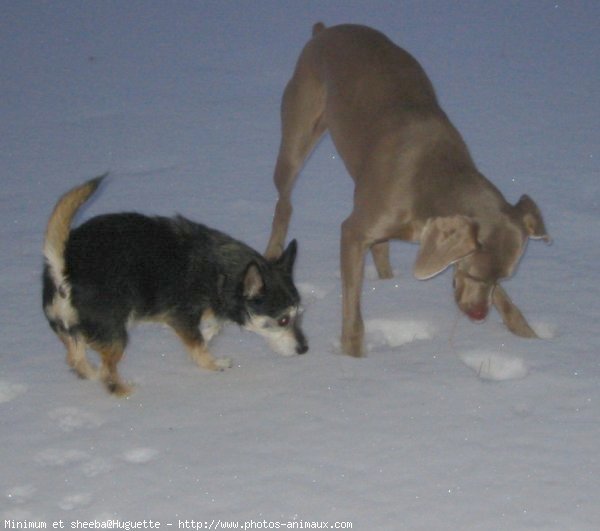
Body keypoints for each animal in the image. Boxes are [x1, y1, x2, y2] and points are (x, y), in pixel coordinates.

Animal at [42, 177, 308, 396]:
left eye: (300, 314)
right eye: (283, 320)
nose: (304, 349)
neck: (221, 272)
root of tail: (63, 270)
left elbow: (209, 330)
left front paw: (208, 334)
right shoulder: (182, 315)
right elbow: (198, 344)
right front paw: (213, 364)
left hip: (70, 329)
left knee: (76, 359)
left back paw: (90, 373)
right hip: (115, 333)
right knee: (108, 374)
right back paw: (126, 394)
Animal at [264, 23, 552, 358]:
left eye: (501, 278)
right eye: (475, 274)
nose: (479, 316)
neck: (431, 180)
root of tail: (324, 31)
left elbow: (508, 303)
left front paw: (530, 337)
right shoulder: (352, 233)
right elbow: (353, 312)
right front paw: (352, 359)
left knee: (380, 247)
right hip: (296, 140)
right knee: (284, 203)